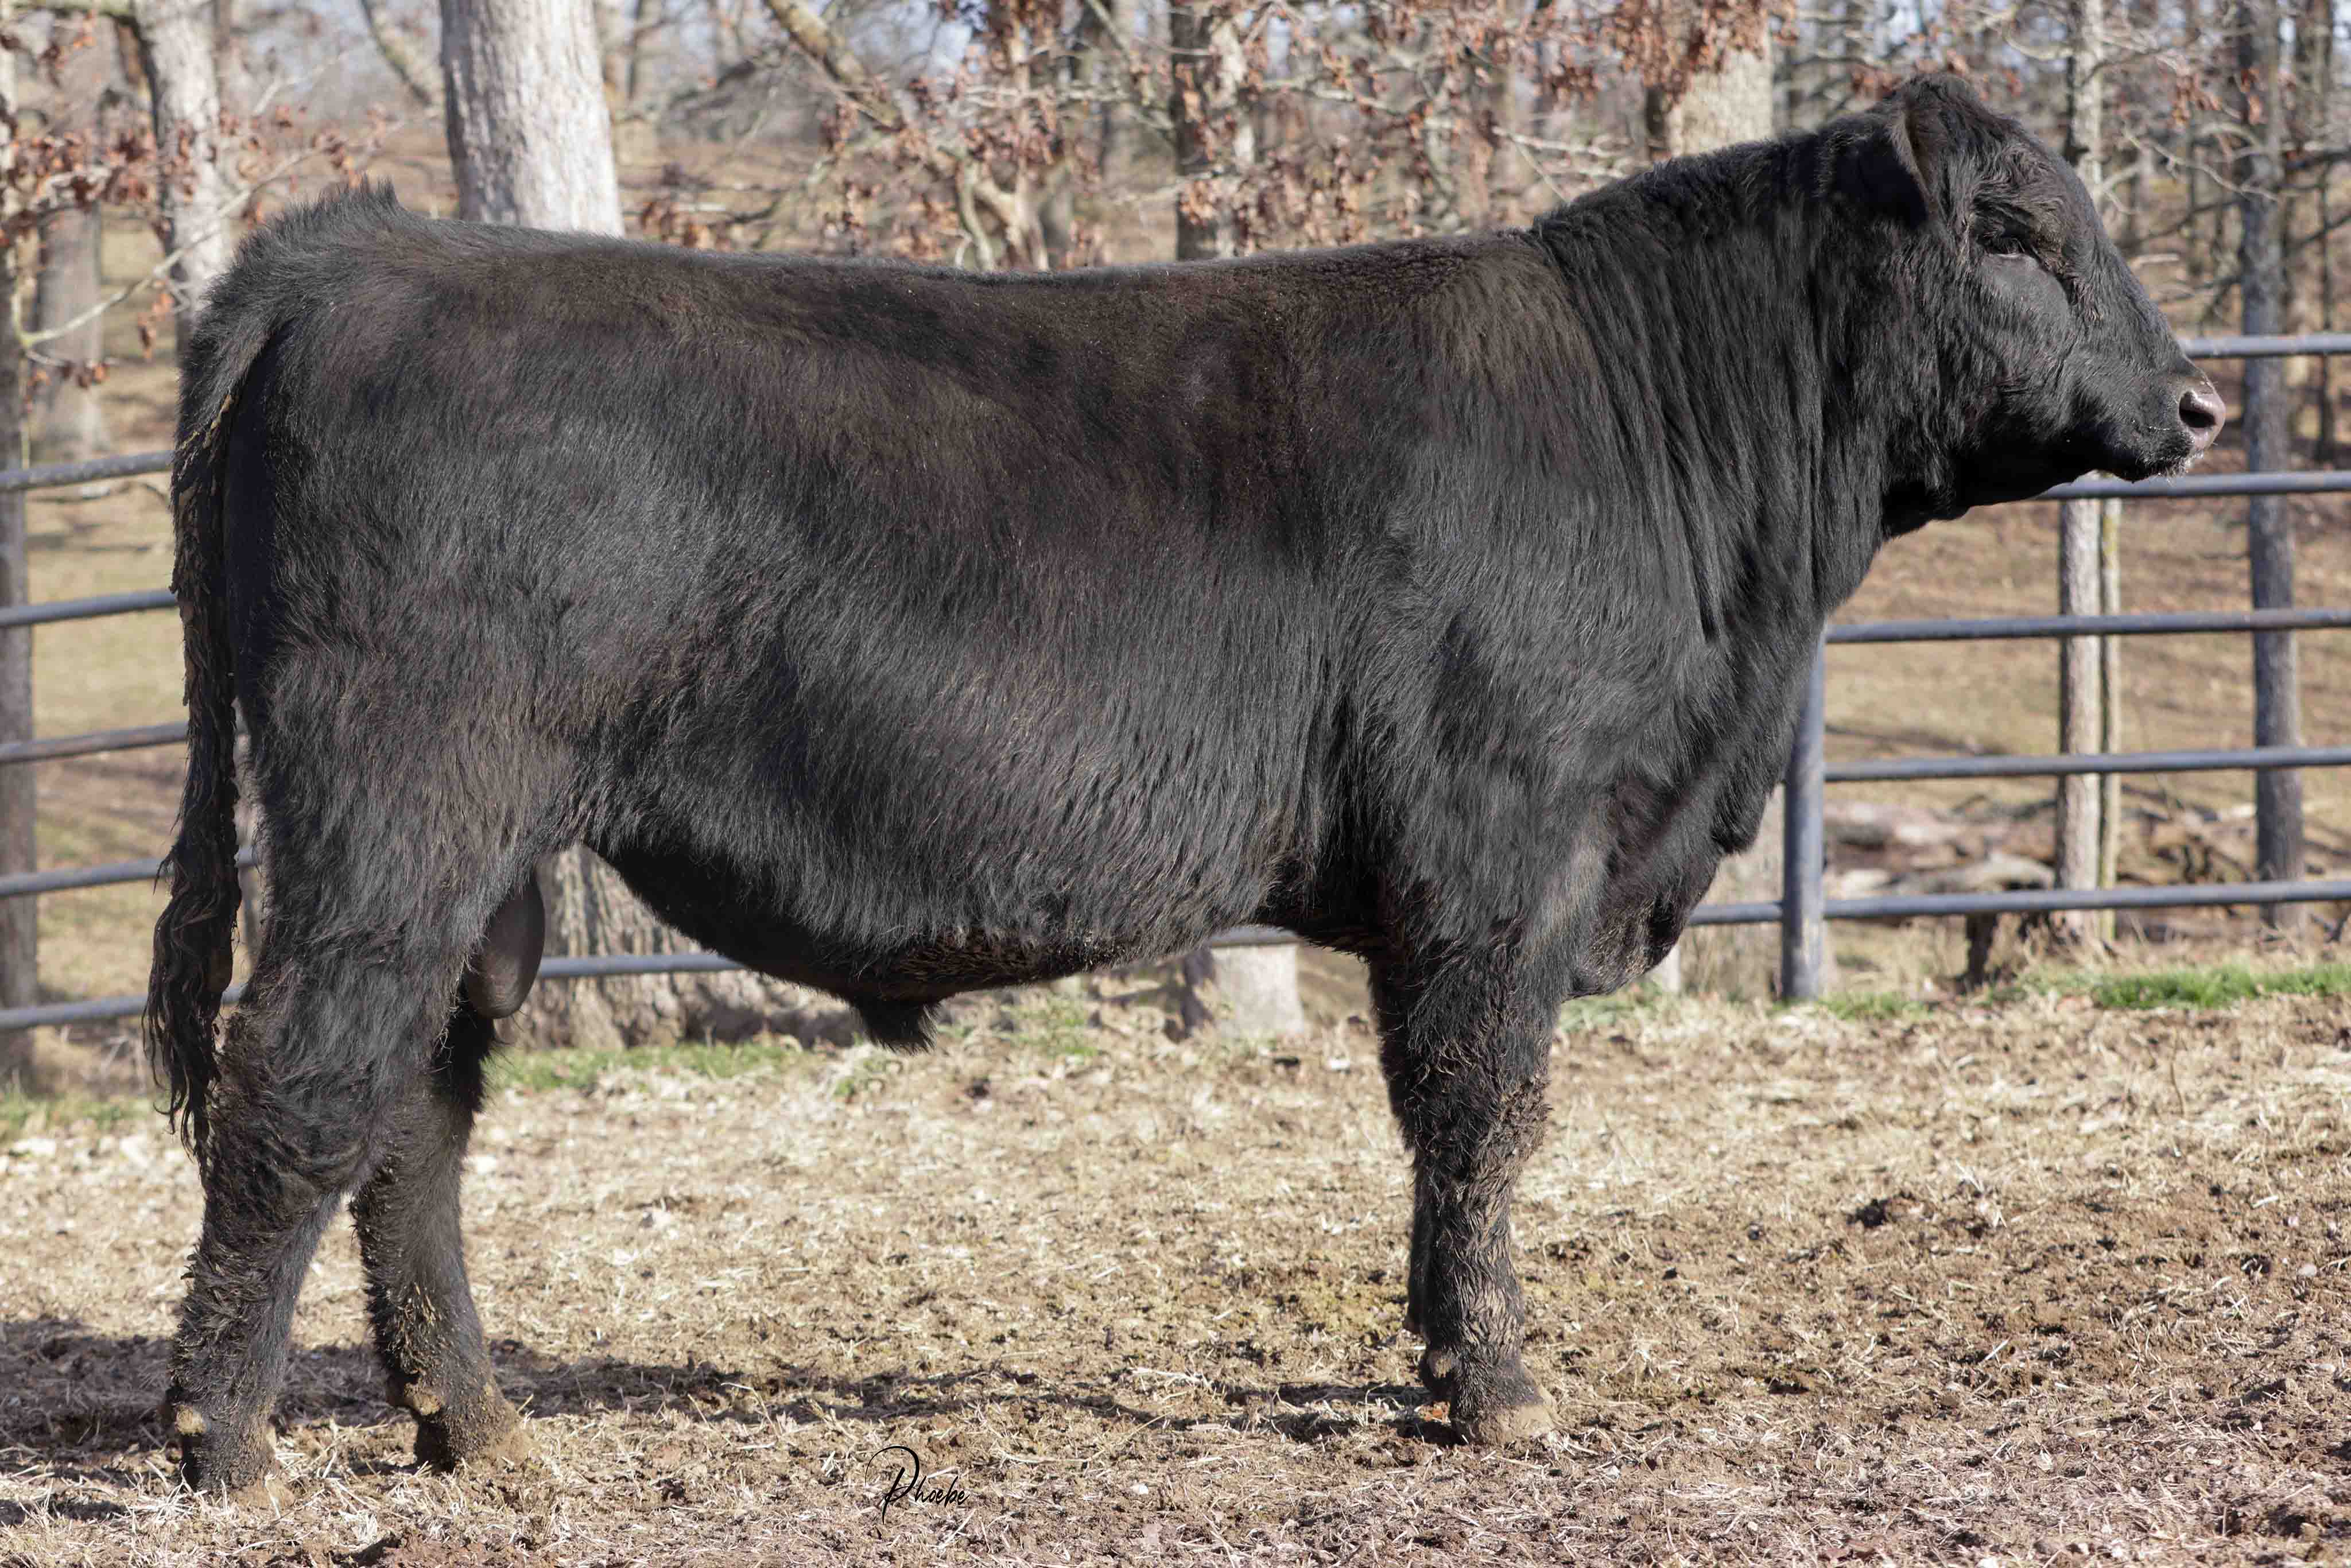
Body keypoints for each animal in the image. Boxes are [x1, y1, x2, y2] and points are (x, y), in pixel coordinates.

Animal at [145, 73, 2220, 1497]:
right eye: (2013, 232)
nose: (2196, 401)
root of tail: (378, 247)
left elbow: (1444, 1128)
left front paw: (1439, 1366)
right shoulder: (1499, 859)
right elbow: (1480, 1117)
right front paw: (1498, 1391)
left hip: (474, 856)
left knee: (417, 1105)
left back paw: (477, 1427)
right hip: (396, 811)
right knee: (303, 1085)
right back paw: (221, 1442)